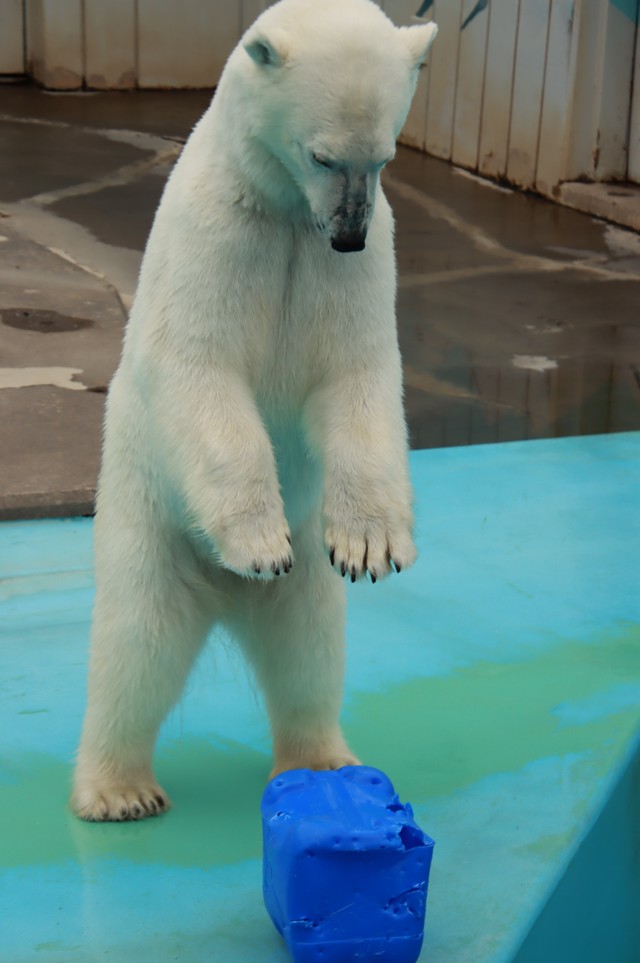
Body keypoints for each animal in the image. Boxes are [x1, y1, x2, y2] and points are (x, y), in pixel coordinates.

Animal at [72, 0, 438, 820]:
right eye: (323, 156)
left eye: (385, 158)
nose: (348, 234)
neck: (288, 214)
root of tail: (227, 596)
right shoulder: (219, 231)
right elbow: (199, 368)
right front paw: (261, 540)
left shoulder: (359, 268)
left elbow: (358, 376)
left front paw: (371, 546)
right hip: (152, 528)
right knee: (135, 646)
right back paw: (116, 789)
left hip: (305, 589)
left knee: (309, 652)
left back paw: (324, 759)